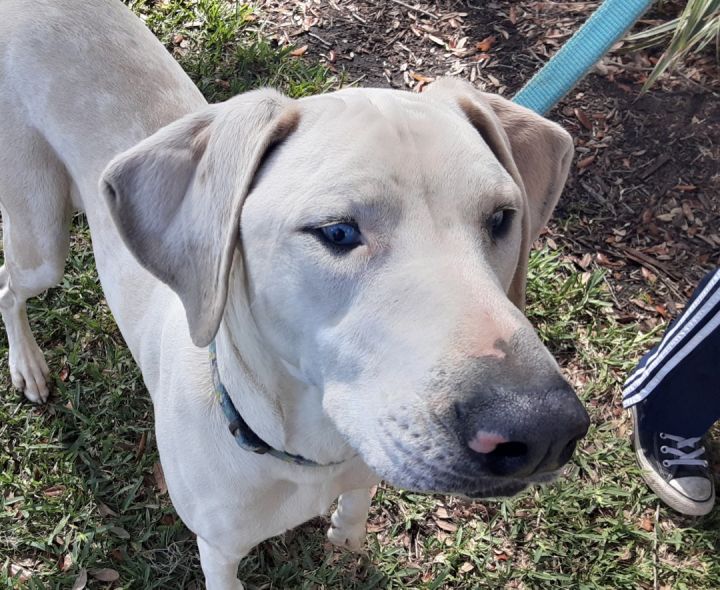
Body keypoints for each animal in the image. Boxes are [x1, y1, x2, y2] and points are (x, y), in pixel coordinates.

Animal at [0, 1, 589, 587]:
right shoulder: (218, 552)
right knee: (10, 287)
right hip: (42, 242)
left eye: (502, 218)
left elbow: (356, 506)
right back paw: (28, 365)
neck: (305, 454)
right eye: (337, 232)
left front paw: (347, 542)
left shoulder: (362, 466)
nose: (543, 429)